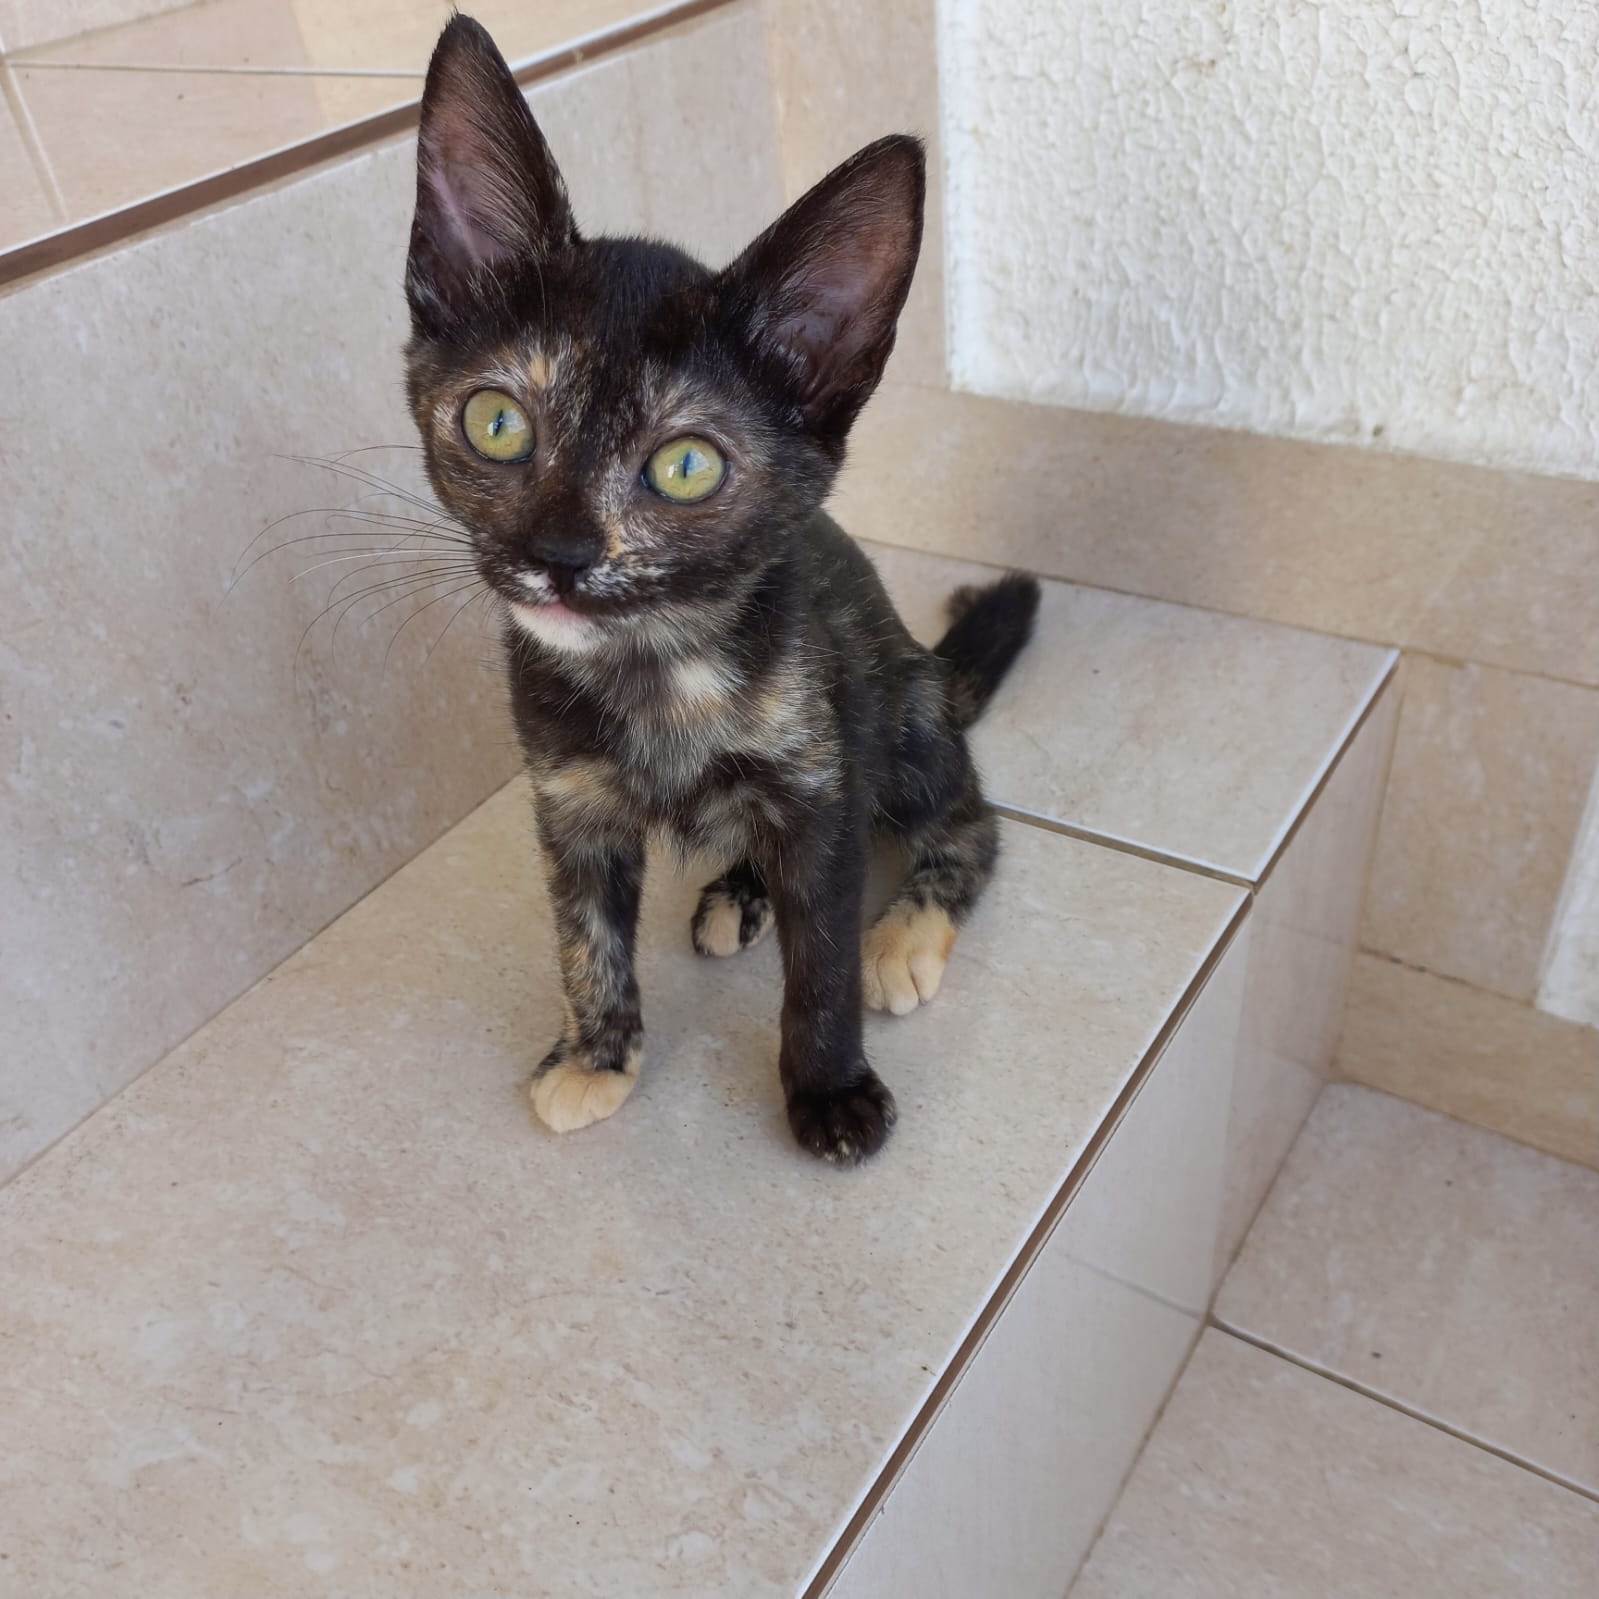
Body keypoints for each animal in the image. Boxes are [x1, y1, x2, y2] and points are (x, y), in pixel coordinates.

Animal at [403, 15, 1039, 1164]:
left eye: (686, 466)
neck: (658, 665)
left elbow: (821, 960)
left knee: (970, 825)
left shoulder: (821, 788)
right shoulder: (570, 801)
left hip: (905, 719)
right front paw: (597, 1054)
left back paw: (905, 931)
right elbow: (583, 935)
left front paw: (828, 1086)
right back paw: (736, 894)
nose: (560, 553)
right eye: (495, 423)